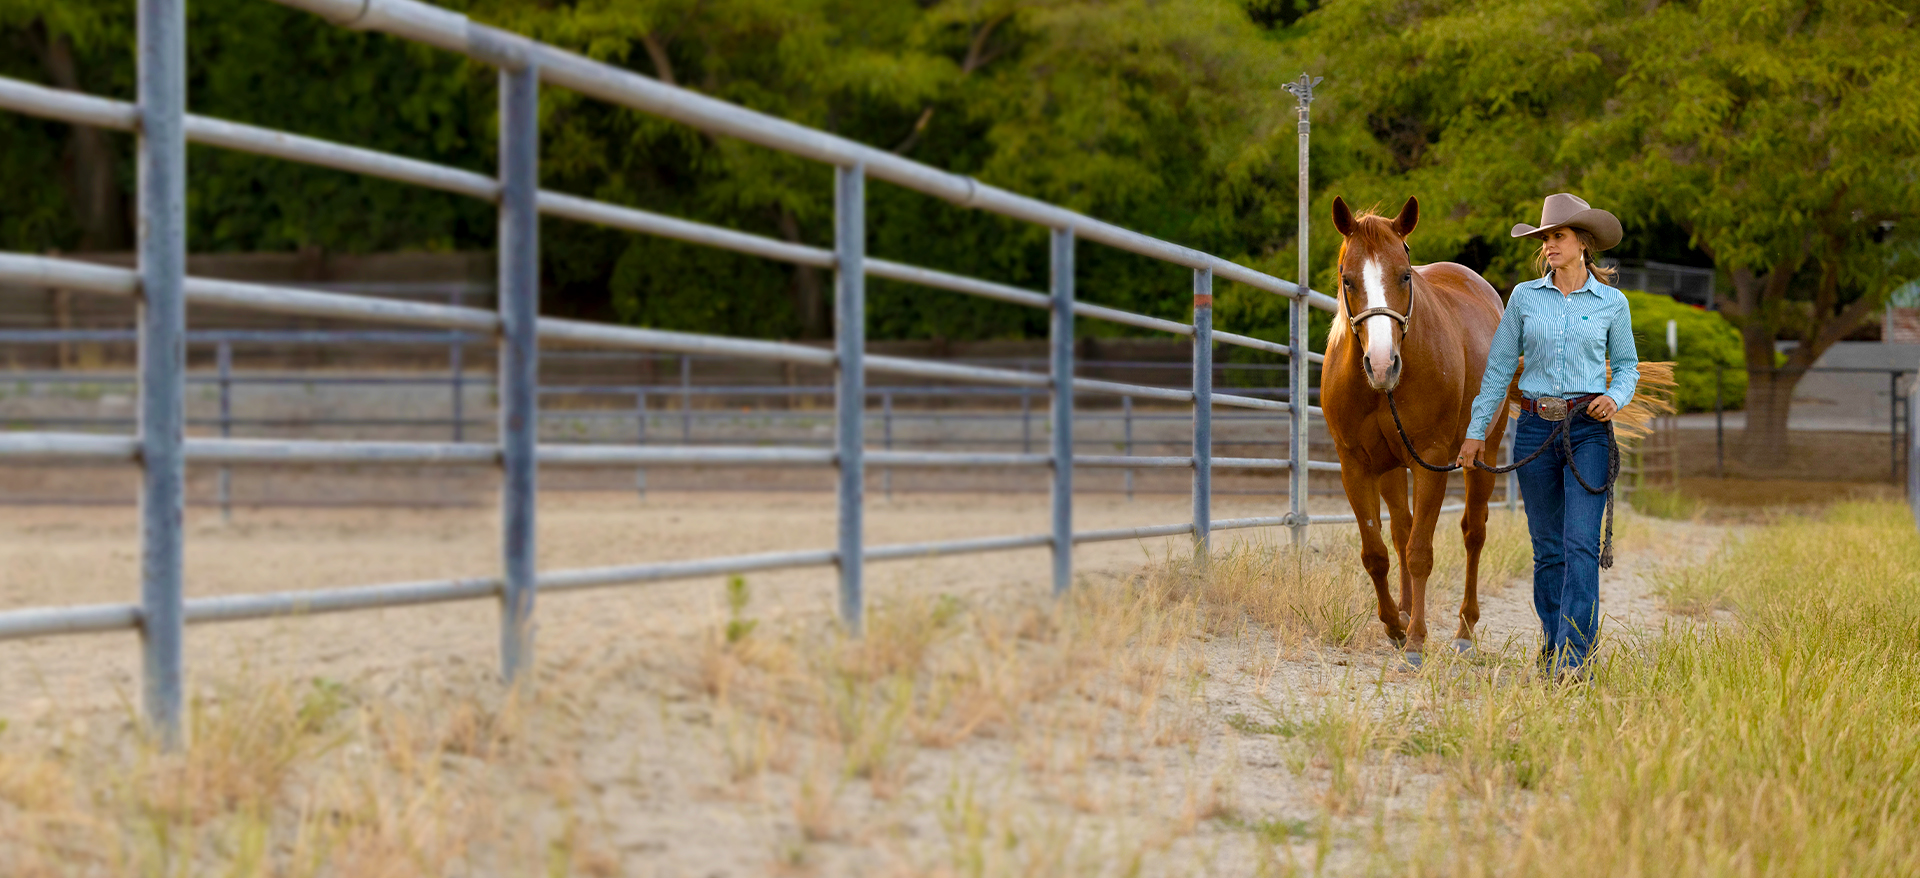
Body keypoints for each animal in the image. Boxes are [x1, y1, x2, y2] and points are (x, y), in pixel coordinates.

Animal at [1320, 193, 1512, 657]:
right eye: (1347, 280)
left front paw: (1417, 639)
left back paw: (1463, 629)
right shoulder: (1355, 465)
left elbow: (1421, 551)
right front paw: (1394, 623)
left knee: (1472, 533)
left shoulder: (1432, 459)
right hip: (1391, 467)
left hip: (1482, 456)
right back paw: (1406, 612)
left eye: (1405, 276)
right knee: (1401, 531)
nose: (1382, 364)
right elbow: (1377, 551)